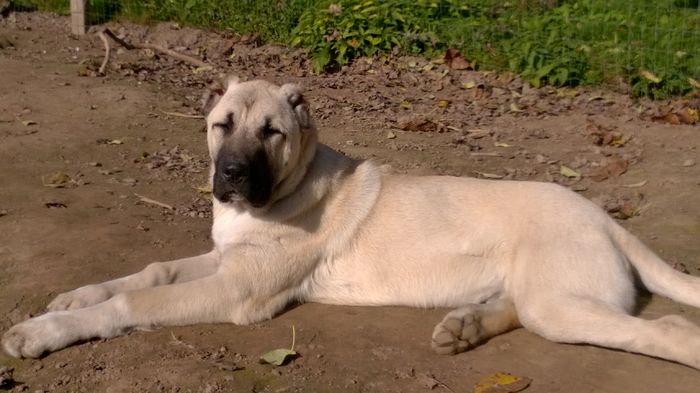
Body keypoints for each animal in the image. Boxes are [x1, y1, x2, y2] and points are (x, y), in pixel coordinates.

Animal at [4, 78, 700, 370]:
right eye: (221, 125)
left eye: (272, 132)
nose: (230, 174)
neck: (278, 194)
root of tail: (606, 218)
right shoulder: (224, 261)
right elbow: (148, 271)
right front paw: (74, 296)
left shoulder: (237, 291)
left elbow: (135, 301)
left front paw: (45, 330)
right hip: (541, 296)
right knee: (517, 309)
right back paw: (466, 327)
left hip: (560, 302)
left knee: (664, 329)